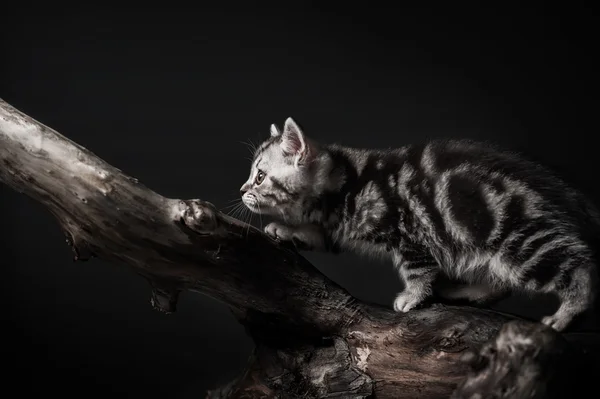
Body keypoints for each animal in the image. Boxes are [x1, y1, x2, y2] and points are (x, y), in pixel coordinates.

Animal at [240, 117, 600, 332]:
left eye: (259, 176)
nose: (242, 190)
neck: (347, 184)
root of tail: (566, 193)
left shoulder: (412, 233)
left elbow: (418, 270)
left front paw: (413, 297)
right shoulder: (338, 227)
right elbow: (318, 234)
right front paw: (285, 229)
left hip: (520, 242)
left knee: (579, 267)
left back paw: (567, 314)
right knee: (502, 280)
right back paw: (468, 291)